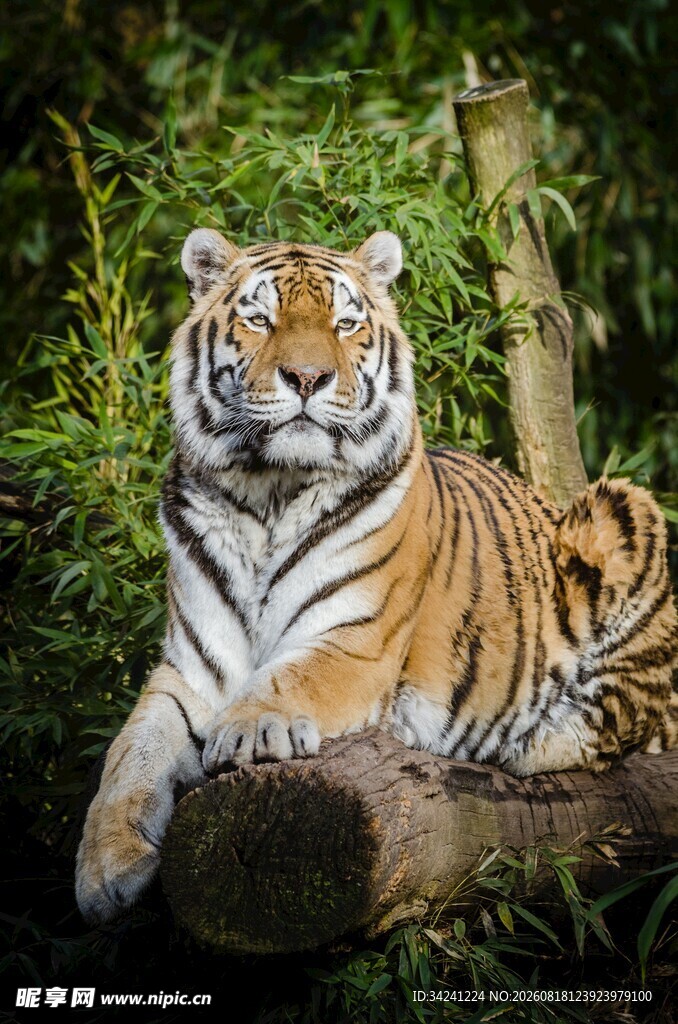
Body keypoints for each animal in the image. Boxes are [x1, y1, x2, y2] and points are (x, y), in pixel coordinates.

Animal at [75, 227, 678, 924]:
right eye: (260, 320)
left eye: (345, 324)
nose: (307, 377)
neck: (267, 494)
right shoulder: (191, 669)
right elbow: (129, 755)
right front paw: (105, 868)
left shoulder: (354, 643)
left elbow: (289, 677)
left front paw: (248, 730)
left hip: (622, 511)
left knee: (619, 725)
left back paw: (525, 743)